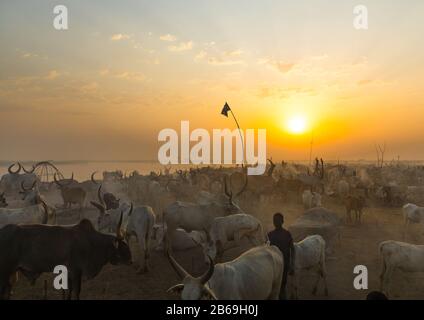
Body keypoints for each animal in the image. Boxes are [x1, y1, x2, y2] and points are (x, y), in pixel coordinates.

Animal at [0, 209, 132, 298]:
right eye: (123, 246)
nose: (131, 260)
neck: (91, 241)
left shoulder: (69, 274)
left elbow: (69, 292)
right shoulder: (76, 272)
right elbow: (76, 292)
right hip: (5, 271)